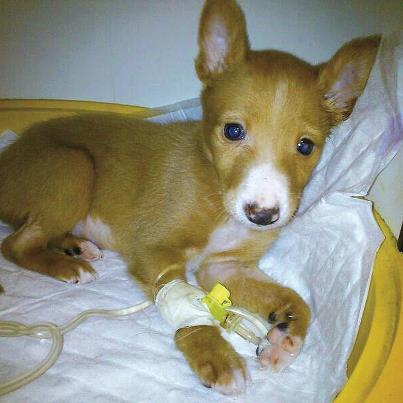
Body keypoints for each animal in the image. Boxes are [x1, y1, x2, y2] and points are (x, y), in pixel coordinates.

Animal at [0, 0, 378, 398]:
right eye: (233, 131)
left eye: (305, 146)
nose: (262, 215)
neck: (217, 196)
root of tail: (9, 155)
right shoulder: (154, 253)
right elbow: (188, 309)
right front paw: (217, 356)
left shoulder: (225, 266)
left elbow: (296, 300)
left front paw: (284, 338)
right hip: (73, 165)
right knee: (16, 243)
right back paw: (67, 266)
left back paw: (76, 247)